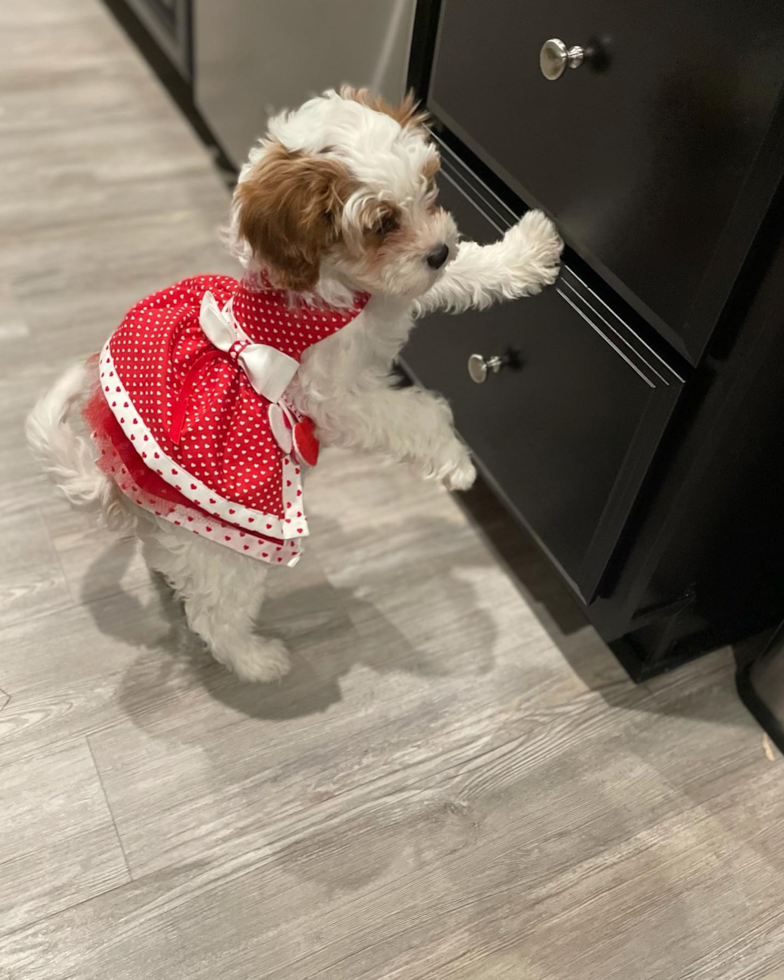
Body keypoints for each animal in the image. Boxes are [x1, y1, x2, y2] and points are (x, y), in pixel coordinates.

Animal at [26, 88, 564, 680]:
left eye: (429, 188)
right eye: (382, 222)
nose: (438, 251)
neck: (334, 288)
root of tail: (114, 482)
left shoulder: (389, 297)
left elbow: (468, 273)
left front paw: (530, 248)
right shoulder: (335, 398)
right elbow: (420, 414)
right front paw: (458, 463)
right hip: (231, 550)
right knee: (215, 614)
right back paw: (257, 661)